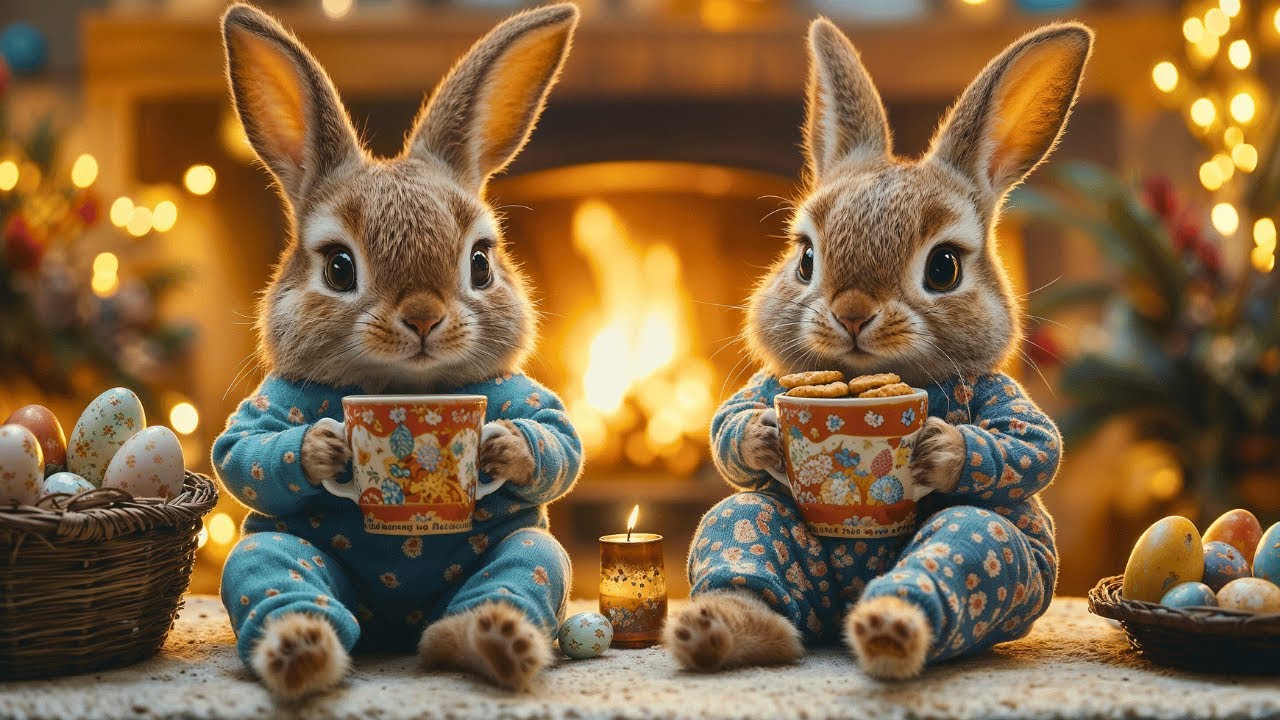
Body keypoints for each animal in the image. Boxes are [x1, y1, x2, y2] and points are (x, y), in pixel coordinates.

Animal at [214, 3, 582, 700]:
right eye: (338, 268)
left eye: (480, 263)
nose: (423, 317)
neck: (402, 390)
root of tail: (395, 626)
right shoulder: (264, 411)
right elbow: (243, 453)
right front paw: (321, 446)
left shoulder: (524, 396)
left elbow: (559, 441)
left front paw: (506, 446)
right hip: (274, 559)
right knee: (272, 575)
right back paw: (301, 649)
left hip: (529, 553)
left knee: (521, 572)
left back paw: (487, 642)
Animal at [664, 19, 1091, 680]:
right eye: (806, 259)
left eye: (944, 267)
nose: (852, 312)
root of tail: (840, 609)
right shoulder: (770, 388)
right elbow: (727, 427)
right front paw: (762, 433)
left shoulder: (1004, 397)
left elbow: (1031, 444)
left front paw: (942, 444)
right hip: (753, 530)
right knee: (745, 530)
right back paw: (724, 630)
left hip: (1002, 559)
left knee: (966, 544)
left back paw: (891, 628)